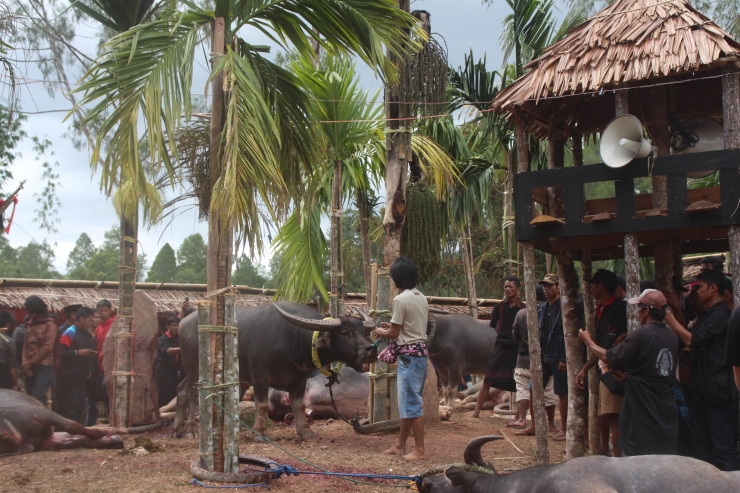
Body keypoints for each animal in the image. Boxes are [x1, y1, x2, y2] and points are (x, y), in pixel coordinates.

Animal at [175, 300, 376, 438]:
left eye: (362, 332)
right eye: (345, 332)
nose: (371, 349)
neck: (290, 340)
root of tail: (183, 323)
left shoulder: (299, 379)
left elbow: (299, 405)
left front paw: (305, 431)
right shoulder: (259, 376)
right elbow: (262, 404)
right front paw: (259, 432)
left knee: (181, 390)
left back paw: (178, 428)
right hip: (194, 367)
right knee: (191, 392)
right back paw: (191, 430)